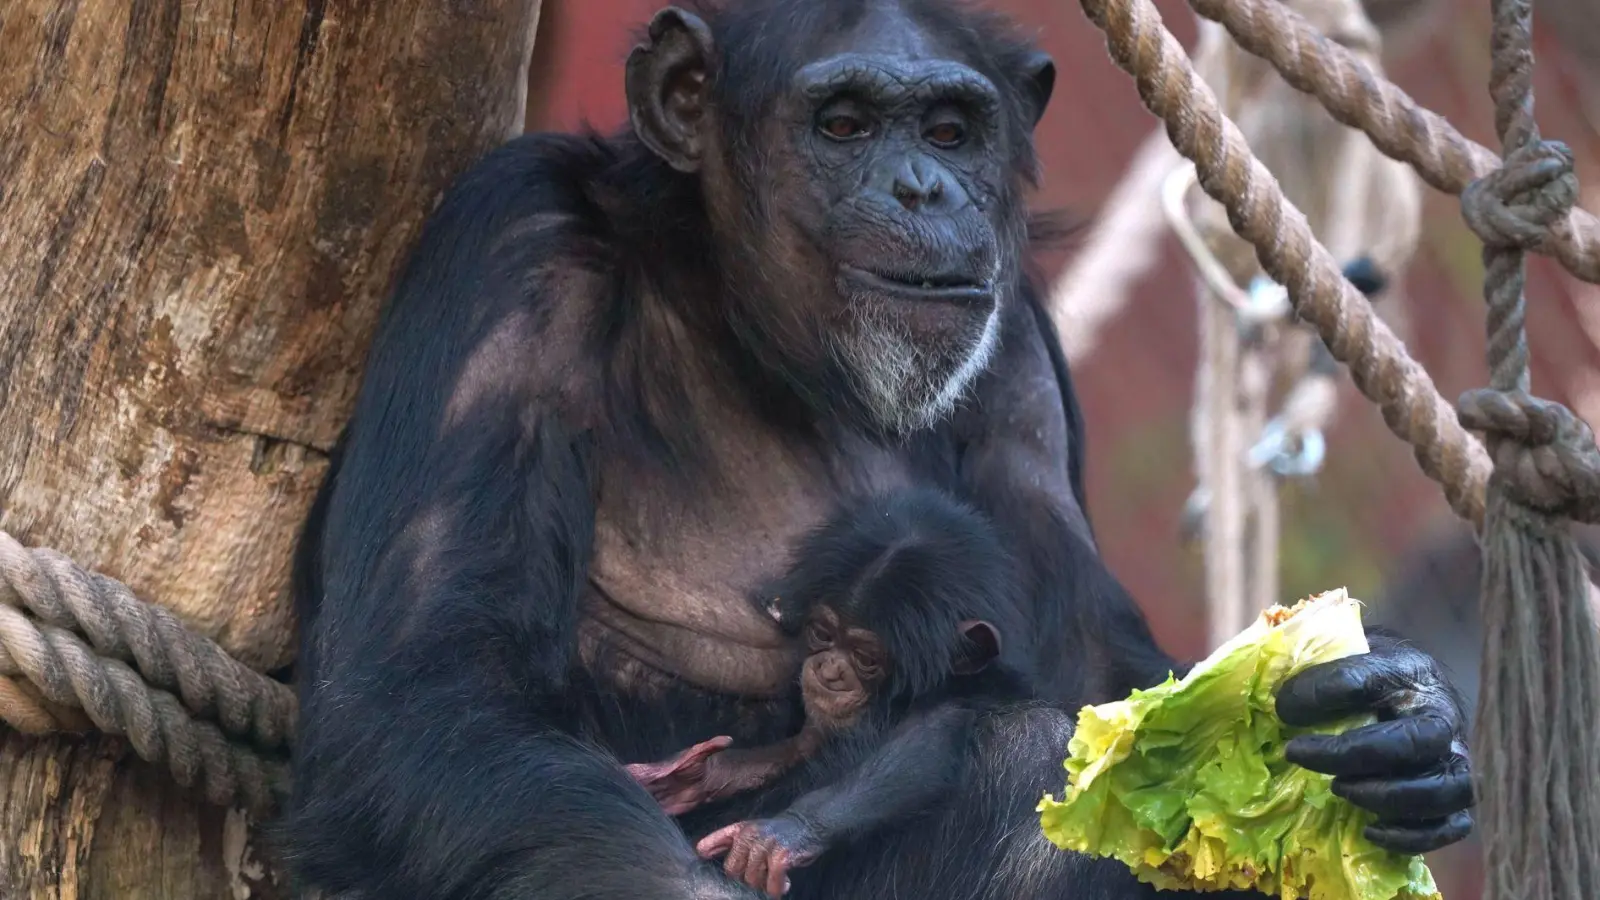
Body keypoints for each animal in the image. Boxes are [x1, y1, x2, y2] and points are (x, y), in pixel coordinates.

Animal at [617, 486, 1030, 890]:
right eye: (822, 634)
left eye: (865, 657)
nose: (830, 671)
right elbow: (805, 743)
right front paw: (698, 775)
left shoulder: (960, 697)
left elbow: (924, 745)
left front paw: (784, 834)